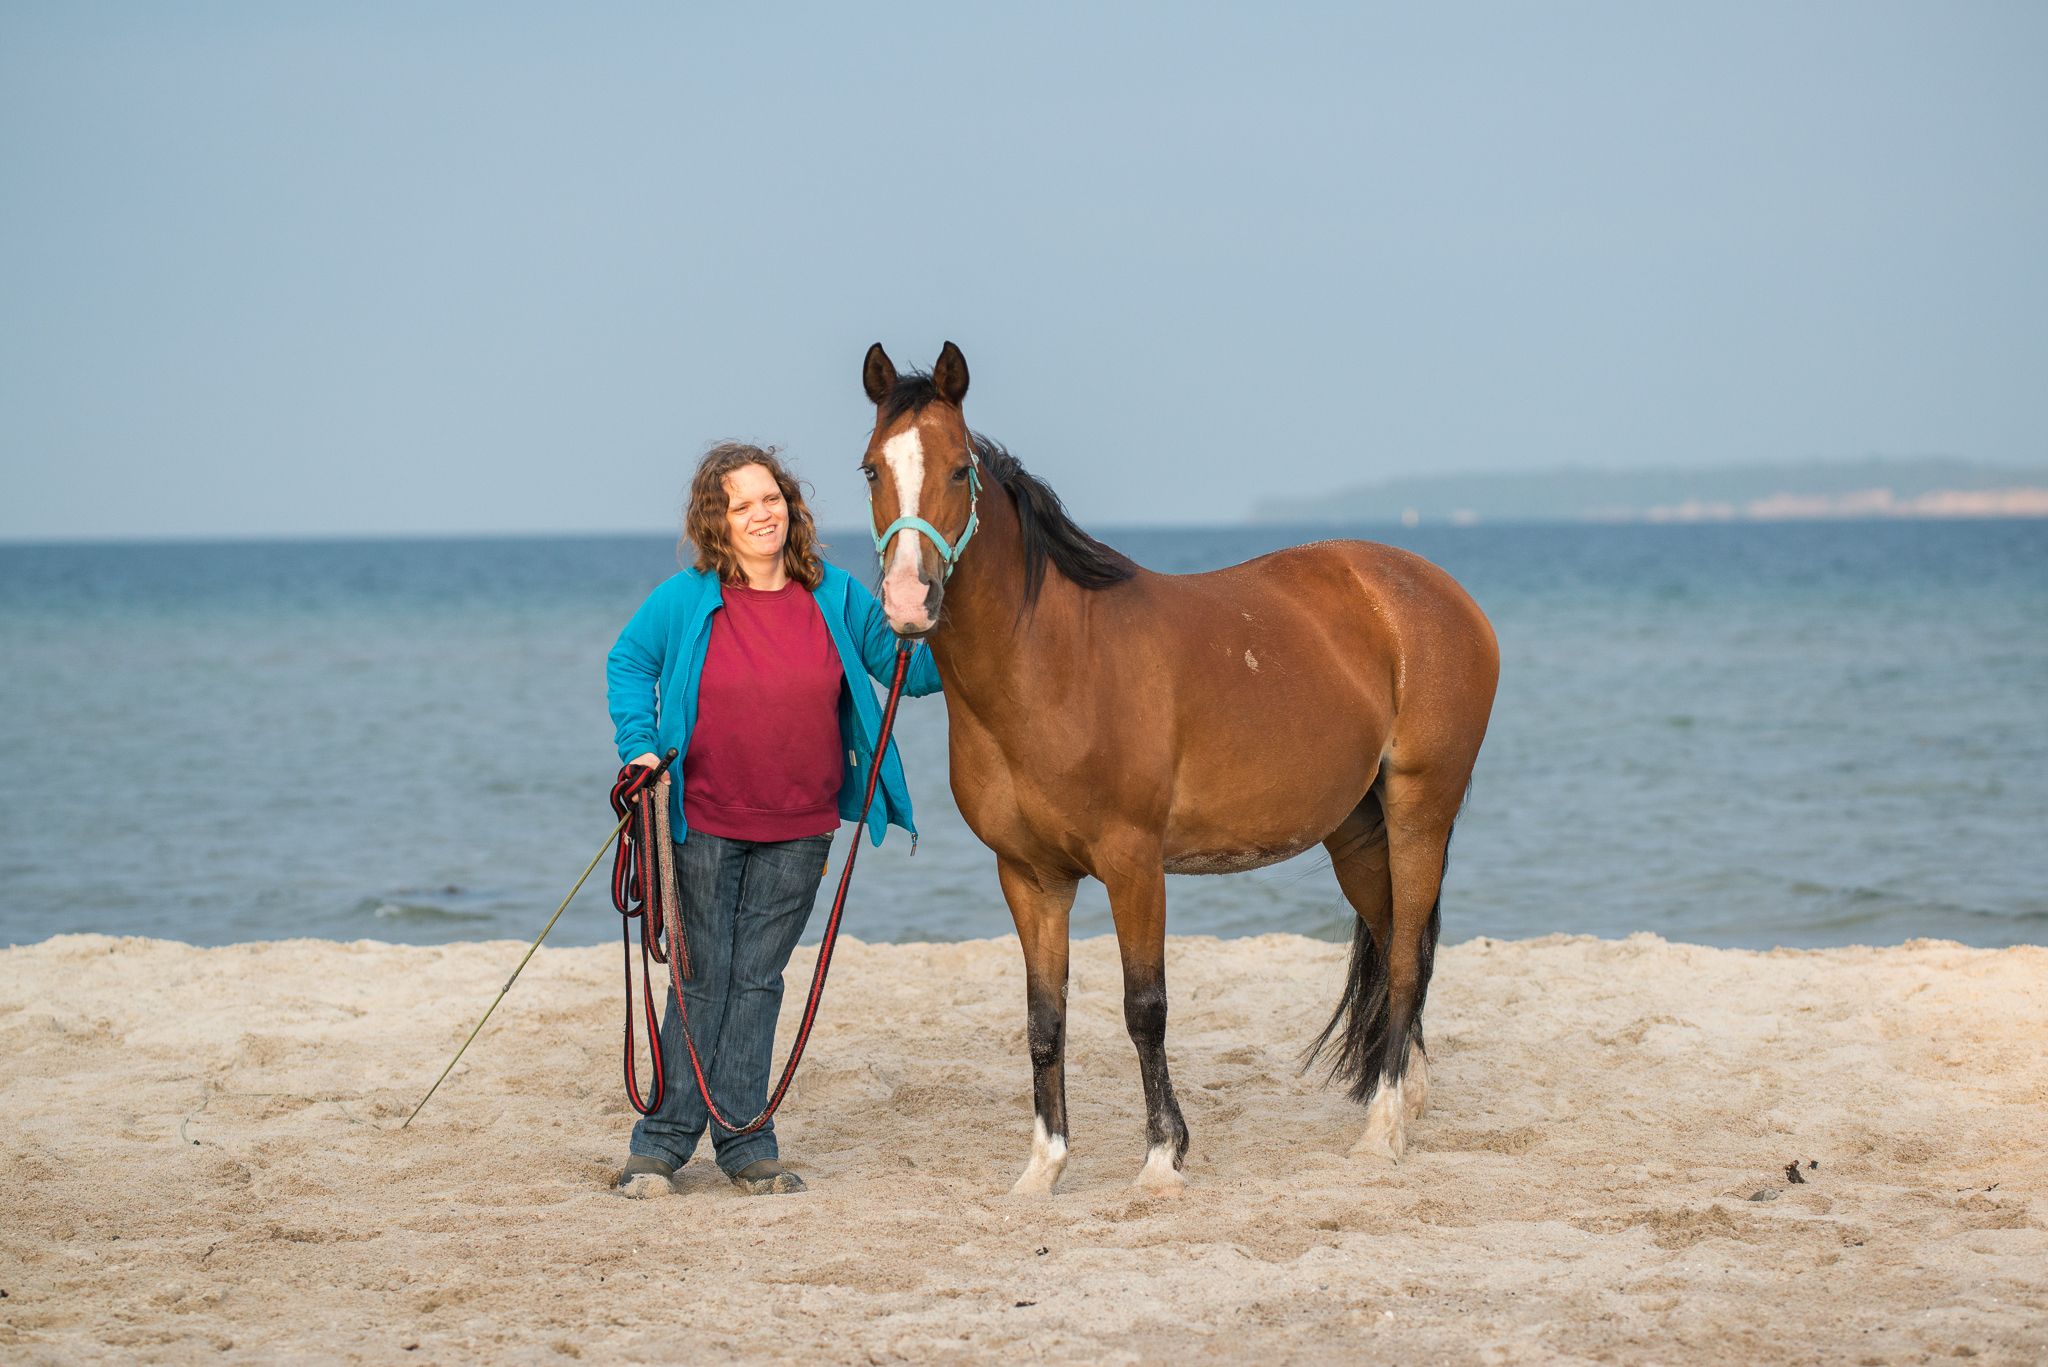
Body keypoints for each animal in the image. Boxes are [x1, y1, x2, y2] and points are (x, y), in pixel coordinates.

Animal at [858, 341, 1499, 1193]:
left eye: (960, 470)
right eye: (871, 468)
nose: (908, 601)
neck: (1054, 662)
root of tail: (1434, 592)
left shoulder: (1134, 863)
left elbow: (1145, 1007)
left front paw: (1164, 1156)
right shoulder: (1029, 875)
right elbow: (1044, 1018)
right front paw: (1043, 1168)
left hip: (1419, 810)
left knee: (1400, 962)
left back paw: (1382, 1129)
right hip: (1359, 837)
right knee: (1401, 940)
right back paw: (1408, 1102)